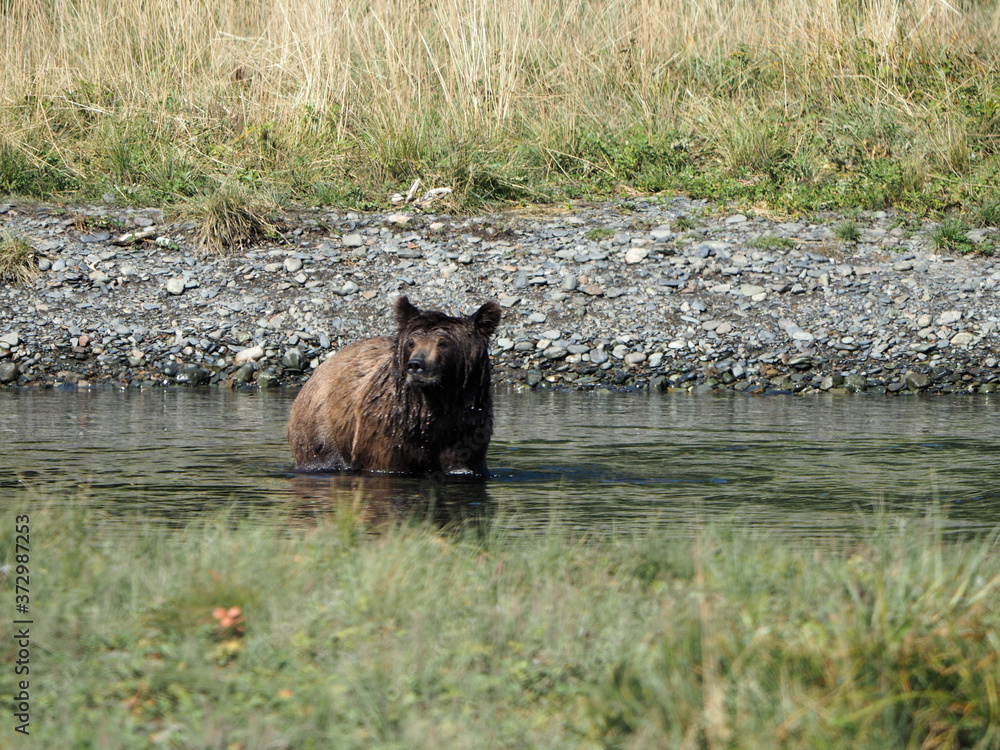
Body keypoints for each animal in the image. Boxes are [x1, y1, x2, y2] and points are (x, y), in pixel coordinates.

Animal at [288, 296, 504, 478]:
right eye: (411, 342)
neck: (437, 399)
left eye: (443, 343)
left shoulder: (467, 426)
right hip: (320, 425)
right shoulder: (389, 431)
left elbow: (464, 463)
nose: (416, 365)